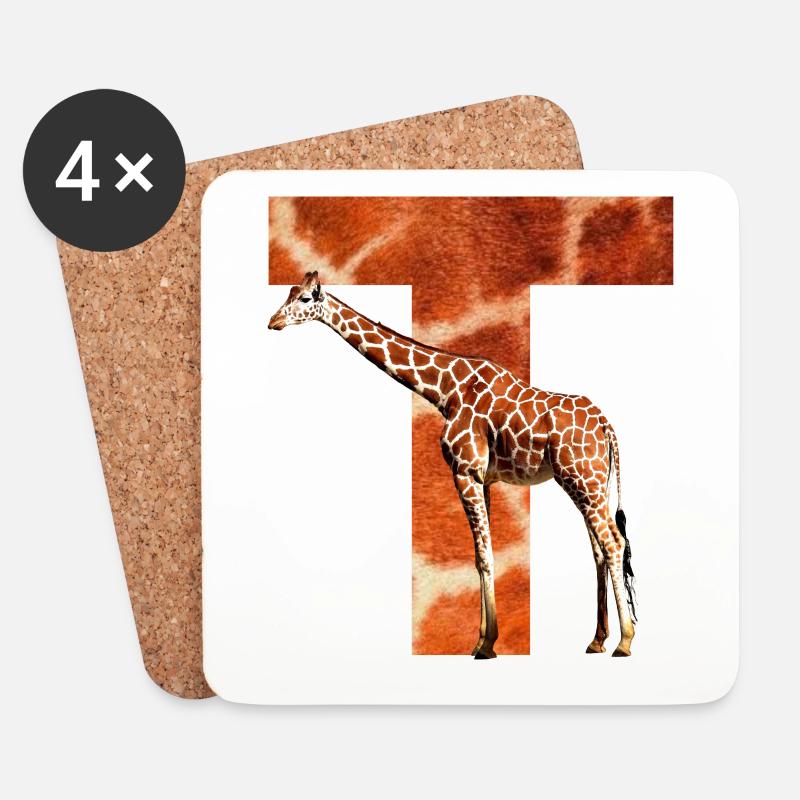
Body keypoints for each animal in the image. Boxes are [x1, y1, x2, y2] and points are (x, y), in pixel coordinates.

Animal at [268, 271, 637, 659]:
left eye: (306, 298)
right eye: (288, 292)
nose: (273, 322)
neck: (445, 389)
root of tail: (606, 426)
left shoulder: (465, 471)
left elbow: (483, 556)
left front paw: (486, 645)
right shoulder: (484, 479)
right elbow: (481, 555)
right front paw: (482, 640)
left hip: (582, 479)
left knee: (614, 543)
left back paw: (624, 642)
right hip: (590, 483)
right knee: (600, 548)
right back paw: (596, 640)